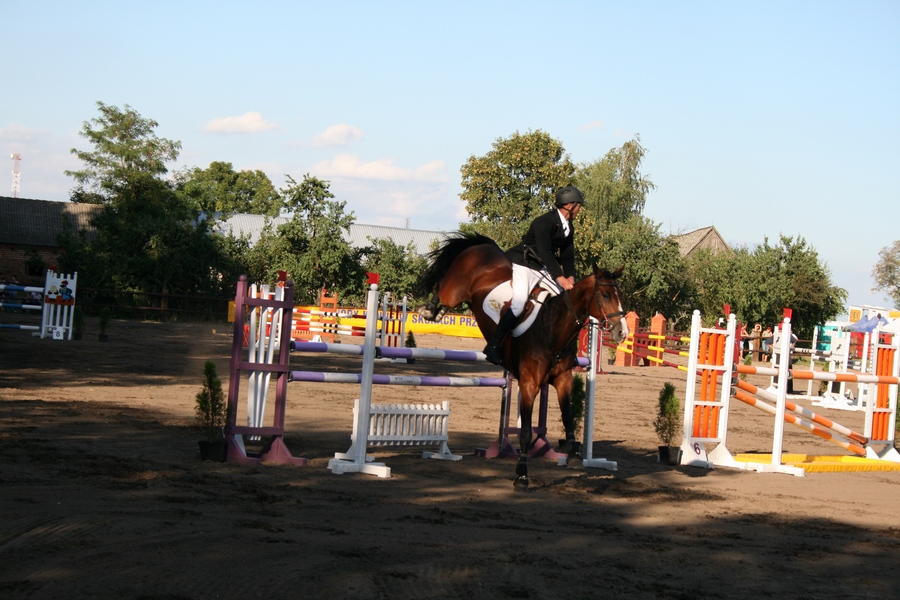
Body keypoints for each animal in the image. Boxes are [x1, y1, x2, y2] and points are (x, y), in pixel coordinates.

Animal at [417, 232, 628, 489]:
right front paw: (522, 475)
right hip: (454, 291)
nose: (622, 332)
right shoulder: (529, 384)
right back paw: (429, 310)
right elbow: (526, 431)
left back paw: (437, 313)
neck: (553, 328)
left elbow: (568, 418)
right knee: (442, 287)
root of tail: (484, 246)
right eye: (605, 295)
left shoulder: (563, 380)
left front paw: (574, 454)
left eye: (620, 296)